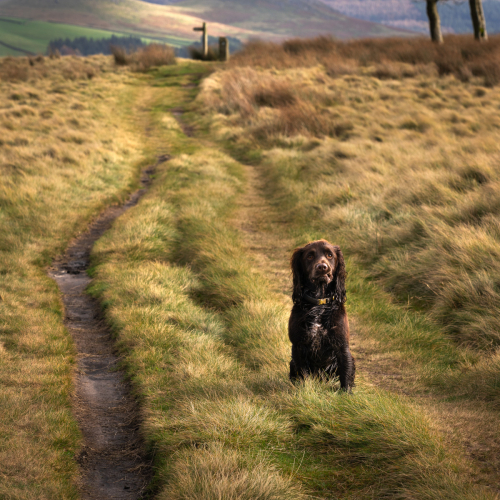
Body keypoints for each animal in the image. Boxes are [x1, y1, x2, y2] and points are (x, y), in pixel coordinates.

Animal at [288, 239, 354, 390]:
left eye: (330, 255)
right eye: (310, 256)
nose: (322, 267)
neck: (319, 302)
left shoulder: (342, 345)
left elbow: (346, 374)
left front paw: (346, 393)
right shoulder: (298, 345)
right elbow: (303, 376)